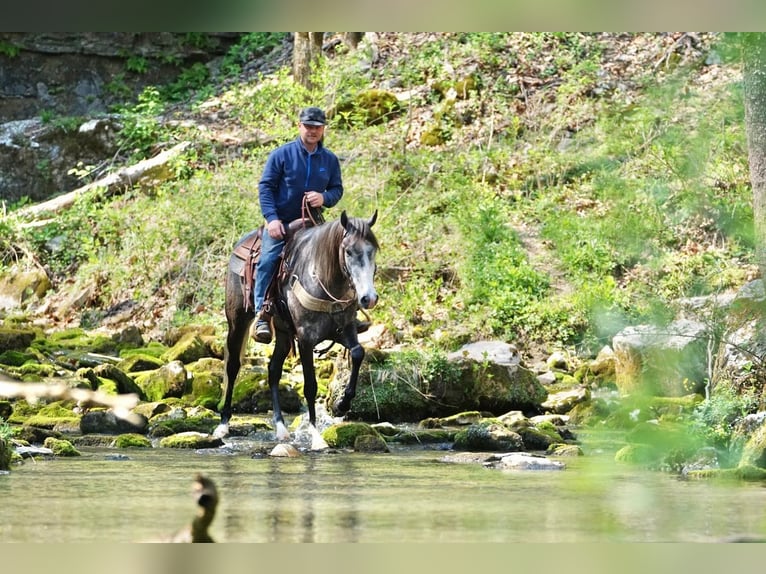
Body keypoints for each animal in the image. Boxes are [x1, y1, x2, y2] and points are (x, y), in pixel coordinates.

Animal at [214, 210, 379, 446]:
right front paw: (316, 435)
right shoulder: (305, 339)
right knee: (233, 366)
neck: (323, 278)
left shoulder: (345, 329)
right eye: (348, 251)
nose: (369, 298)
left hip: (283, 333)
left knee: (273, 370)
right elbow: (310, 385)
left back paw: (281, 427)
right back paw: (223, 424)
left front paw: (342, 405)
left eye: (372, 250)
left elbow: (357, 353)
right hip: (237, 322)